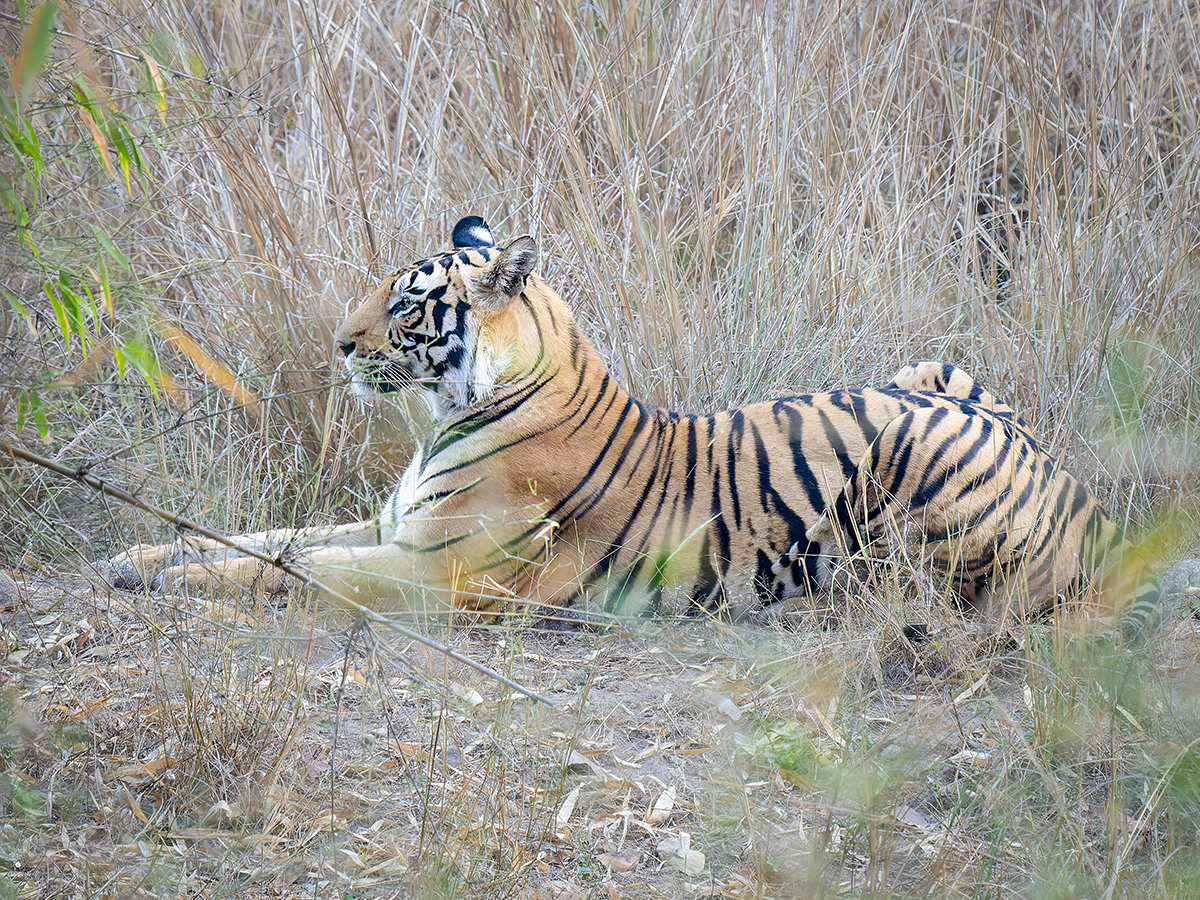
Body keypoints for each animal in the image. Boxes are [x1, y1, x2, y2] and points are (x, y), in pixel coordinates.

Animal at [104, 216, 1161, 640]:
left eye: (407, 302)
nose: (337, 342)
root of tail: (1079, 491)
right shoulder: (388, 526)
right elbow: (265, 539)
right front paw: (135, 557)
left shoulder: (436, 569)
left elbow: (291, 569)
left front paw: (174, 586)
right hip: (930, 371)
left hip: (912, 473)